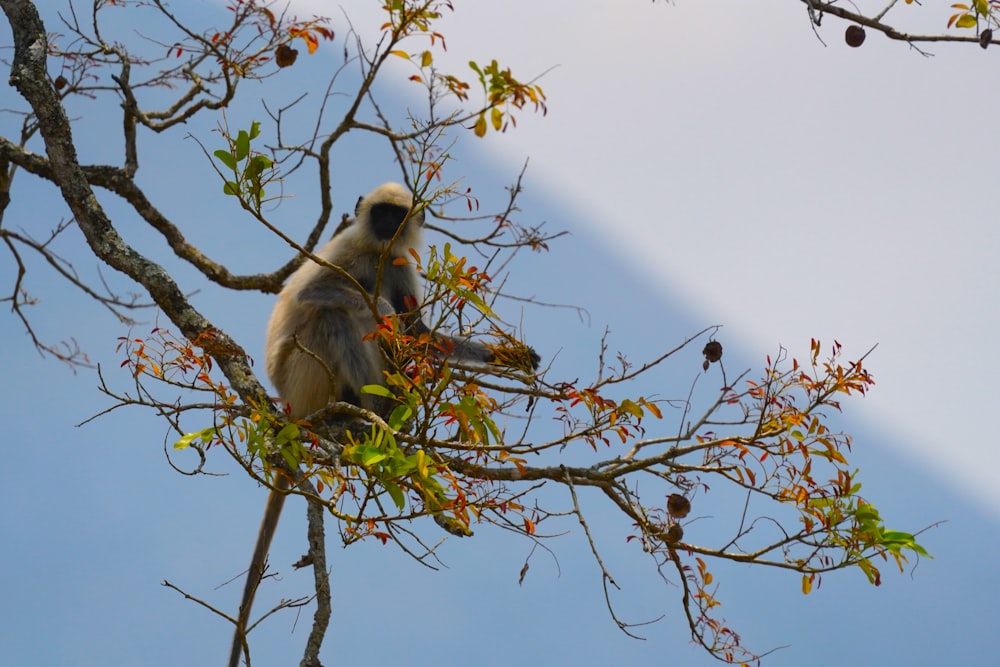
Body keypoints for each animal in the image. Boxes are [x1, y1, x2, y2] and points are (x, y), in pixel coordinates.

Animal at [229, 183, 540, 667]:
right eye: (380, 214)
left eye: (398, 216)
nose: (387, 226)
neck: (375, 253)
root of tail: (291, 406)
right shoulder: (345, 249)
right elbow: (313, 294)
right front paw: (379, 309)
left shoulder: (398, 263)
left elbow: (420, 333)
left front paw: (512, 355)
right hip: (304, 376)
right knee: (335, 316)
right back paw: (366, 408)